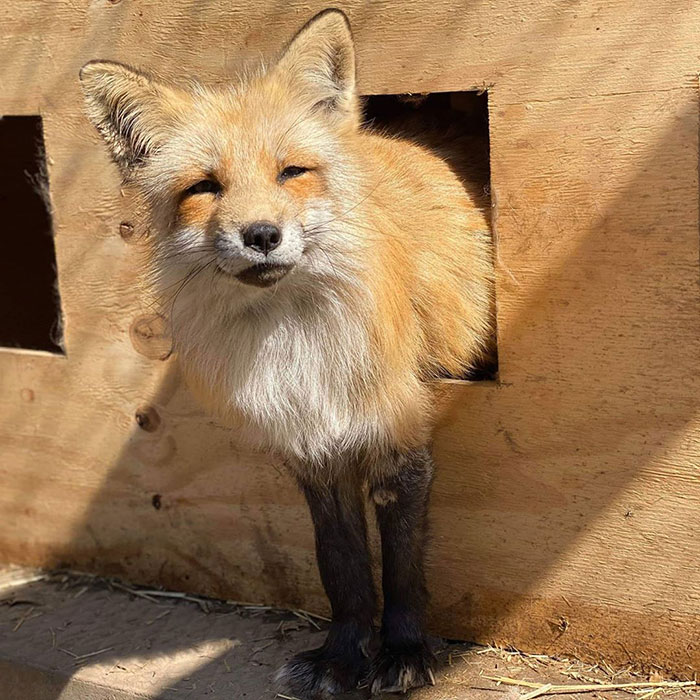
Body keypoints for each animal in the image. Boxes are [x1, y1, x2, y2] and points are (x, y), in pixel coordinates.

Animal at [80, 8, 494, 698]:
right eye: (205, 187)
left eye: (291, 173)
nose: (262, 235)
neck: (298, 342)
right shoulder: (312, 447)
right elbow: (343, 569)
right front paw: (343, 656)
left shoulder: (398, 433)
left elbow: (403, 565)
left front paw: (404, 652)